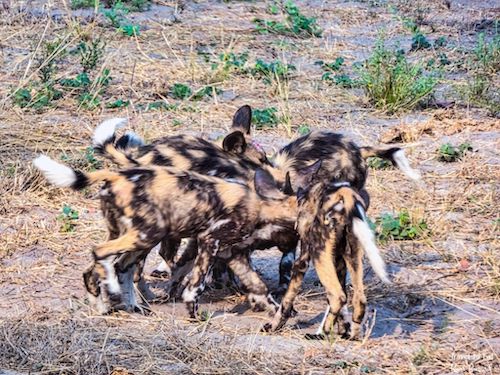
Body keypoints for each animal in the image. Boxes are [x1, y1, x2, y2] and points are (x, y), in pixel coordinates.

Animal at [33, 156, 316, 318]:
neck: (263, 206)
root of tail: (116, 173)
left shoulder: (232, 253)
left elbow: (259, 286)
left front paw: (278, 312)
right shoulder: (209, 242)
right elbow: (196, 285)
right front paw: (193, 312)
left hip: (138, 237)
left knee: (111, 268)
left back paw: (111, 304)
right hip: (148, 233)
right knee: (100, 253)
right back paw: (112, 294)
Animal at [264, 182, 388, 340]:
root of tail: (344, 192)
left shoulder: (302, 261)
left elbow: (286, 301)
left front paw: (274, 326)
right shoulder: (339, 262)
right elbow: (342, 304)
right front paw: (343, 328)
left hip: (319, 253)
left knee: (337, 297)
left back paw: (322, 334)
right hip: (352, 255)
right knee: (359, 300)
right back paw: (353, 336)